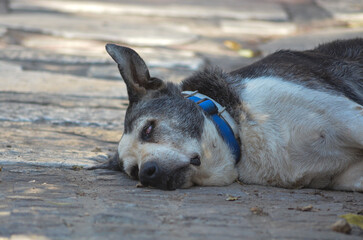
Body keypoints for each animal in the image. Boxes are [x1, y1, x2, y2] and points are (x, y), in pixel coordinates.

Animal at [91, 38, 363, 191]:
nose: (147, 173)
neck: (243, 131)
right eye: (133, 171)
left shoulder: (351, 119)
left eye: (148, 129)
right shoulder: (346, 177)